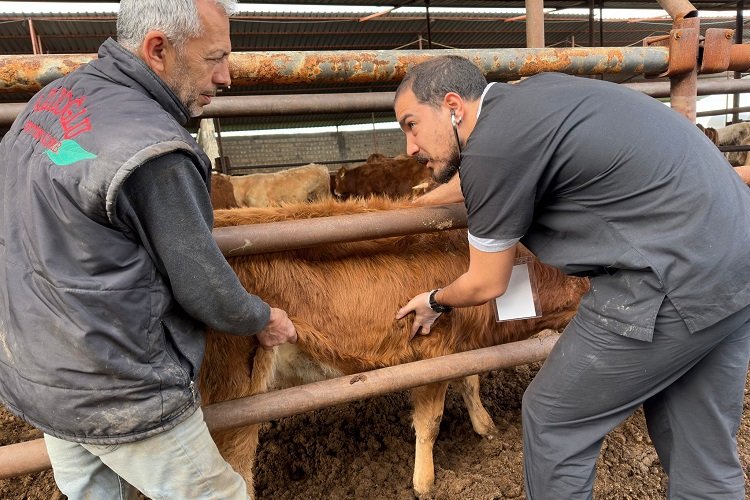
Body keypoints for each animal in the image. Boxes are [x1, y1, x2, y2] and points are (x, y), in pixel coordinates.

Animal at [201, 197, 592, 498]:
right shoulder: (433, 354)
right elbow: (430, 421)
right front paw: (424, 484)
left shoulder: (461, 349)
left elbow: (470, 382)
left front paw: (486, 428)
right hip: (235, 395)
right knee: (236, 467)